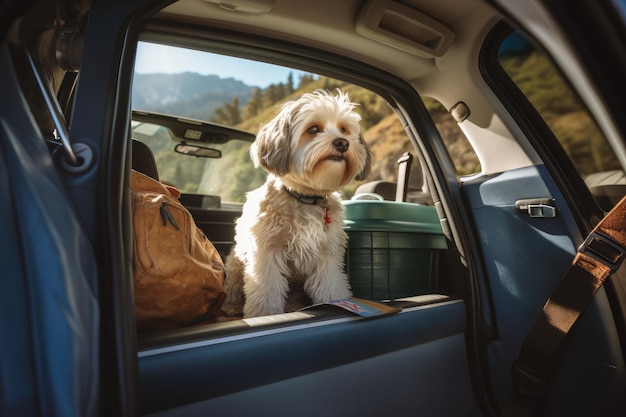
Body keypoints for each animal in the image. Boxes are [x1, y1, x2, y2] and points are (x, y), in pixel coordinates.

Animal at [222, 88, 370, 316]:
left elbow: (330, 286)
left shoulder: (327, 255)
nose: (343, 143)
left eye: (344, 130)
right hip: (235, 265)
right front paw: (265, 315)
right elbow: (266, 292)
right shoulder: (267, 254)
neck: (307, 197)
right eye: (313, 129)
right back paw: (231, 307)